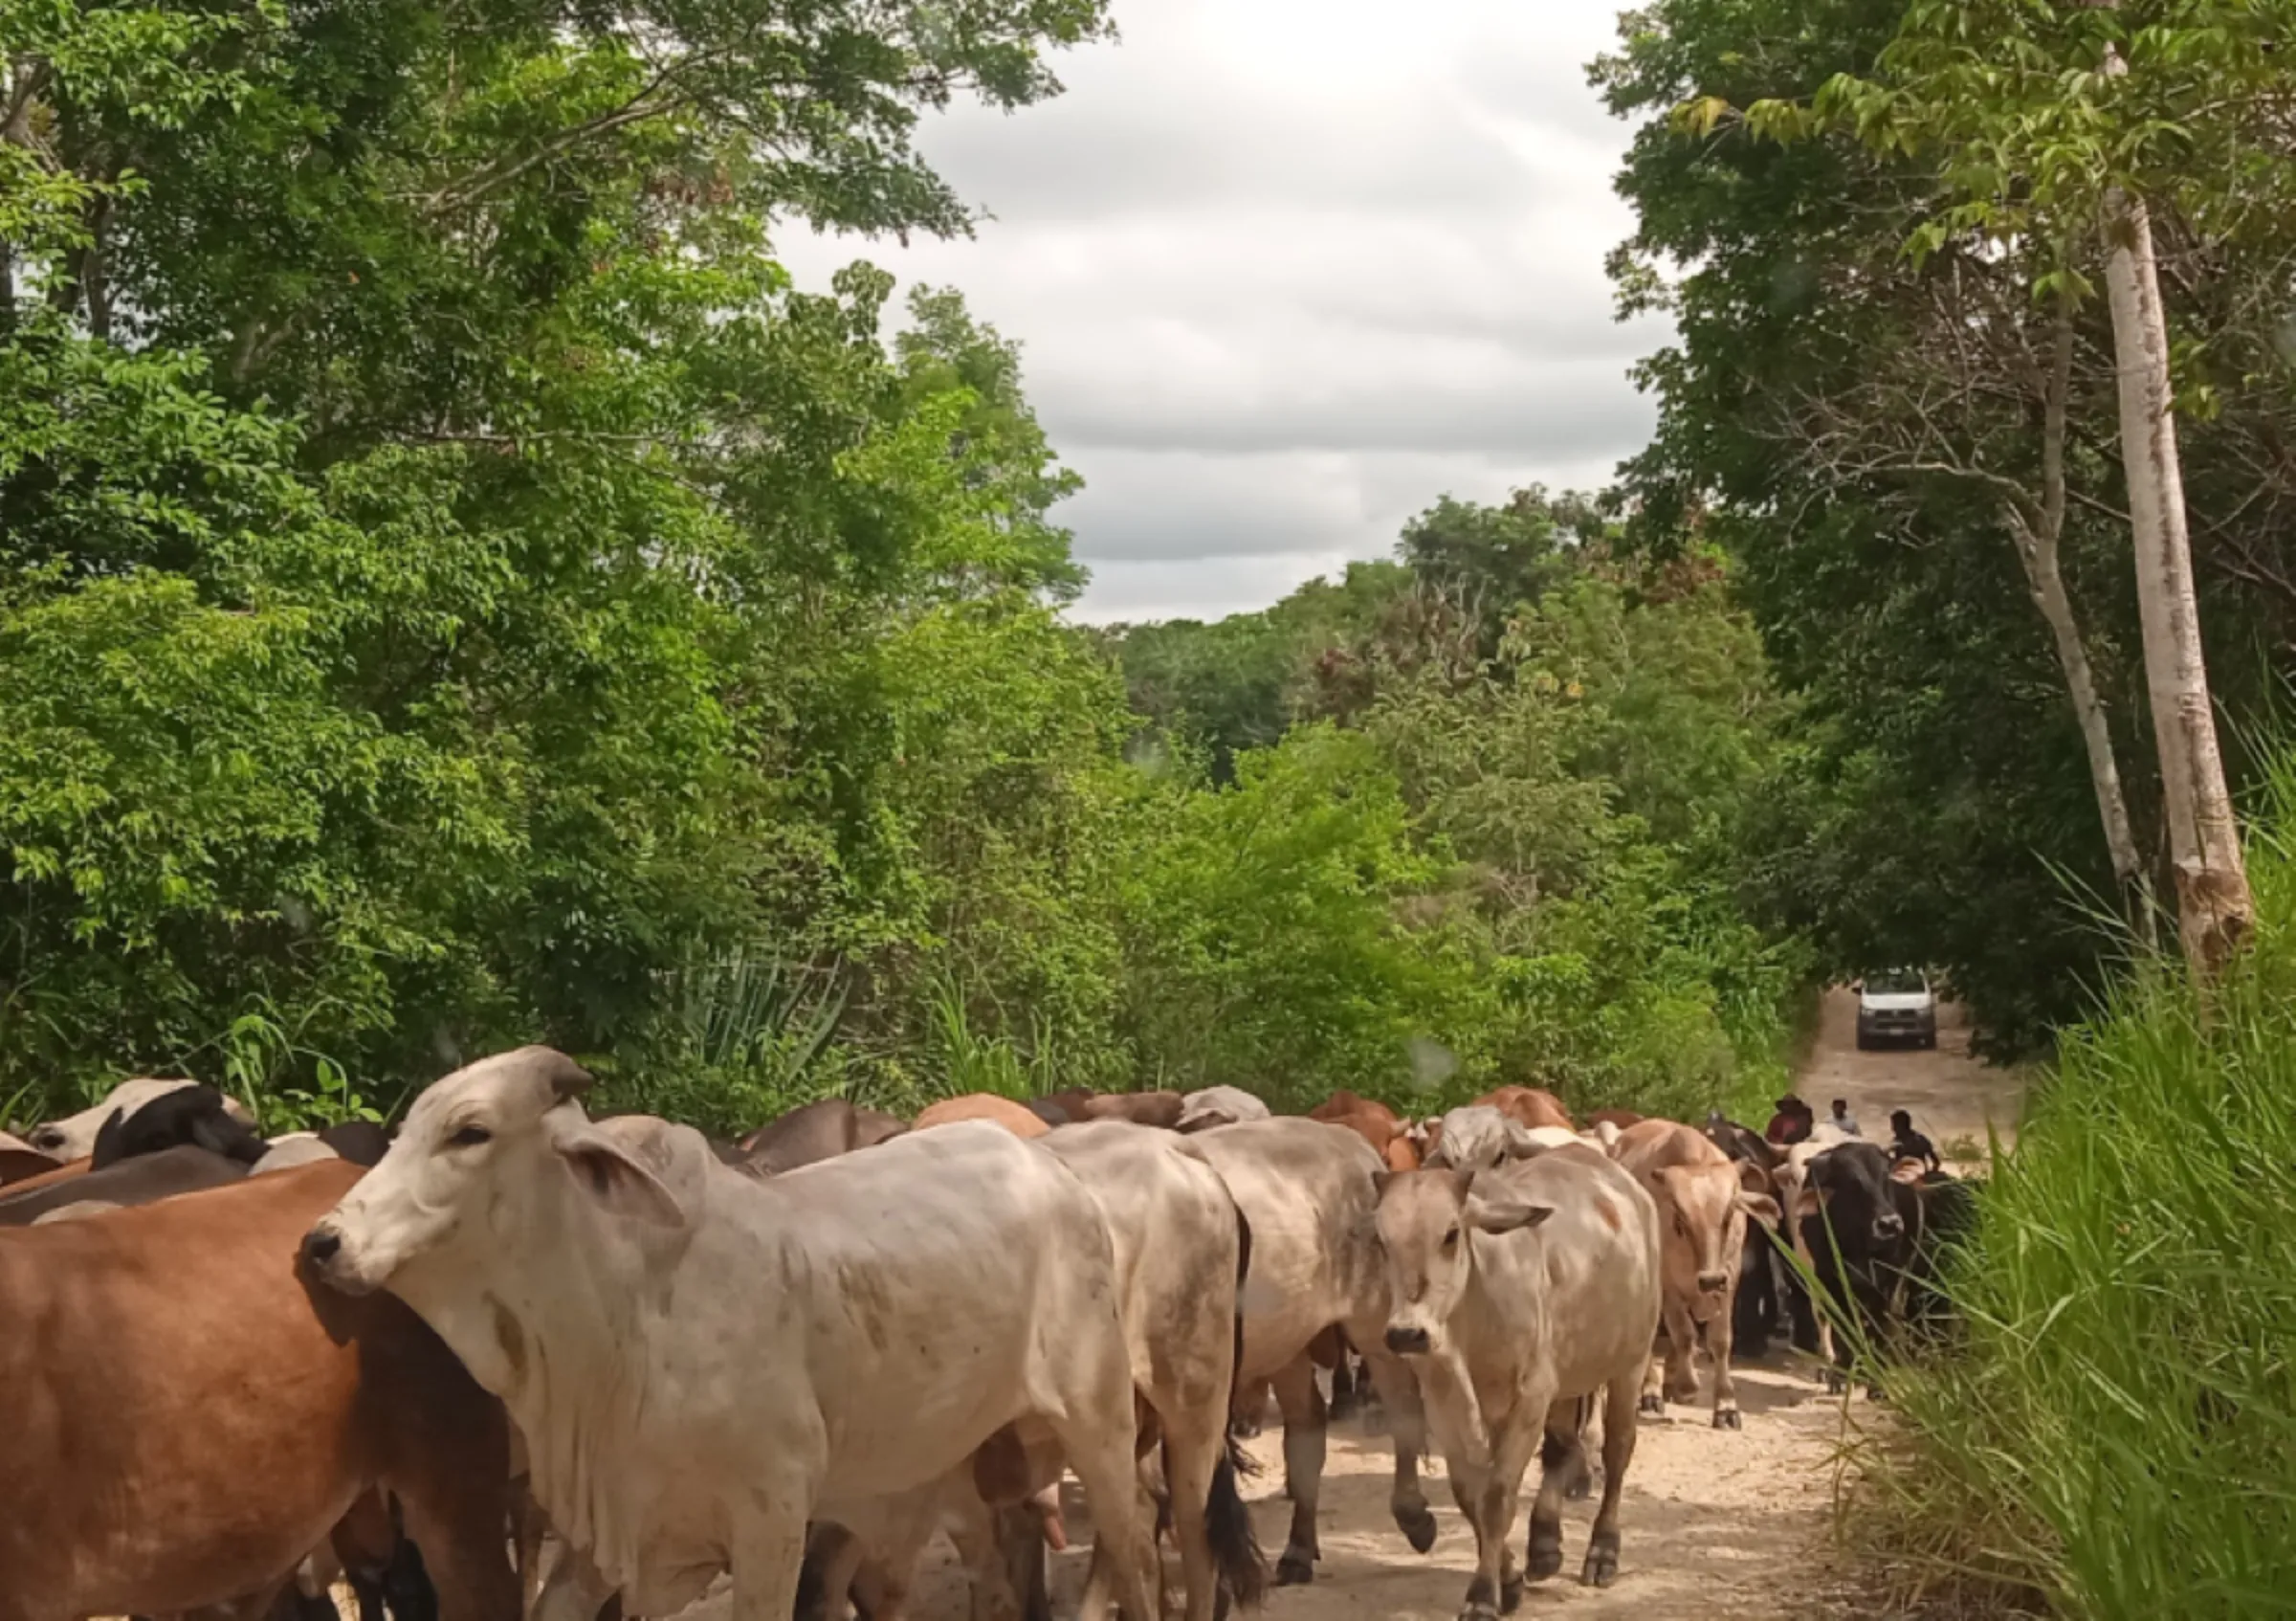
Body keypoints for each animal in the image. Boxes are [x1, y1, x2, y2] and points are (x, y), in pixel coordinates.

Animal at [1607, 1116, 1781, 1423]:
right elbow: (1685, 1335)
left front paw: (1725, 1405)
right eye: (1680, 1220)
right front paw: (1687, 1387)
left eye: (1729, 1215)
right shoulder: (1667, 1288)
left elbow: (1720, 1340)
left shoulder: (1729, 1280)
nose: (1710, 1279)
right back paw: (1651, 1391)